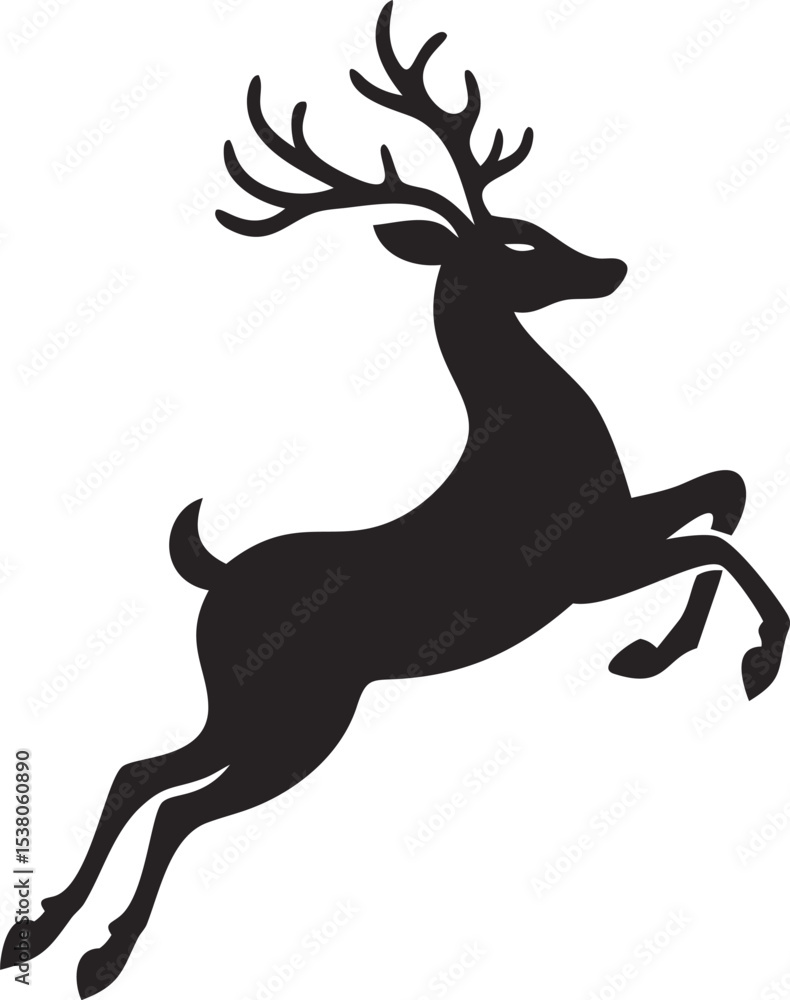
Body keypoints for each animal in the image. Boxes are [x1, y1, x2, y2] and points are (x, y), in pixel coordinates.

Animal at [3, 3, 787, 996]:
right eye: (517, 244)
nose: (609, 265)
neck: (533, 442)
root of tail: (212, 583)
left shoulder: (616, 527)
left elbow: (728, 492)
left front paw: (657, 651)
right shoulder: (574, 570)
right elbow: (717, 538)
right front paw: (757, 657)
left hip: (242, 706)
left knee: (140, 772)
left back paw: (38, 930)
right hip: (302, 715)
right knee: (181, 804)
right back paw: (102, 953)